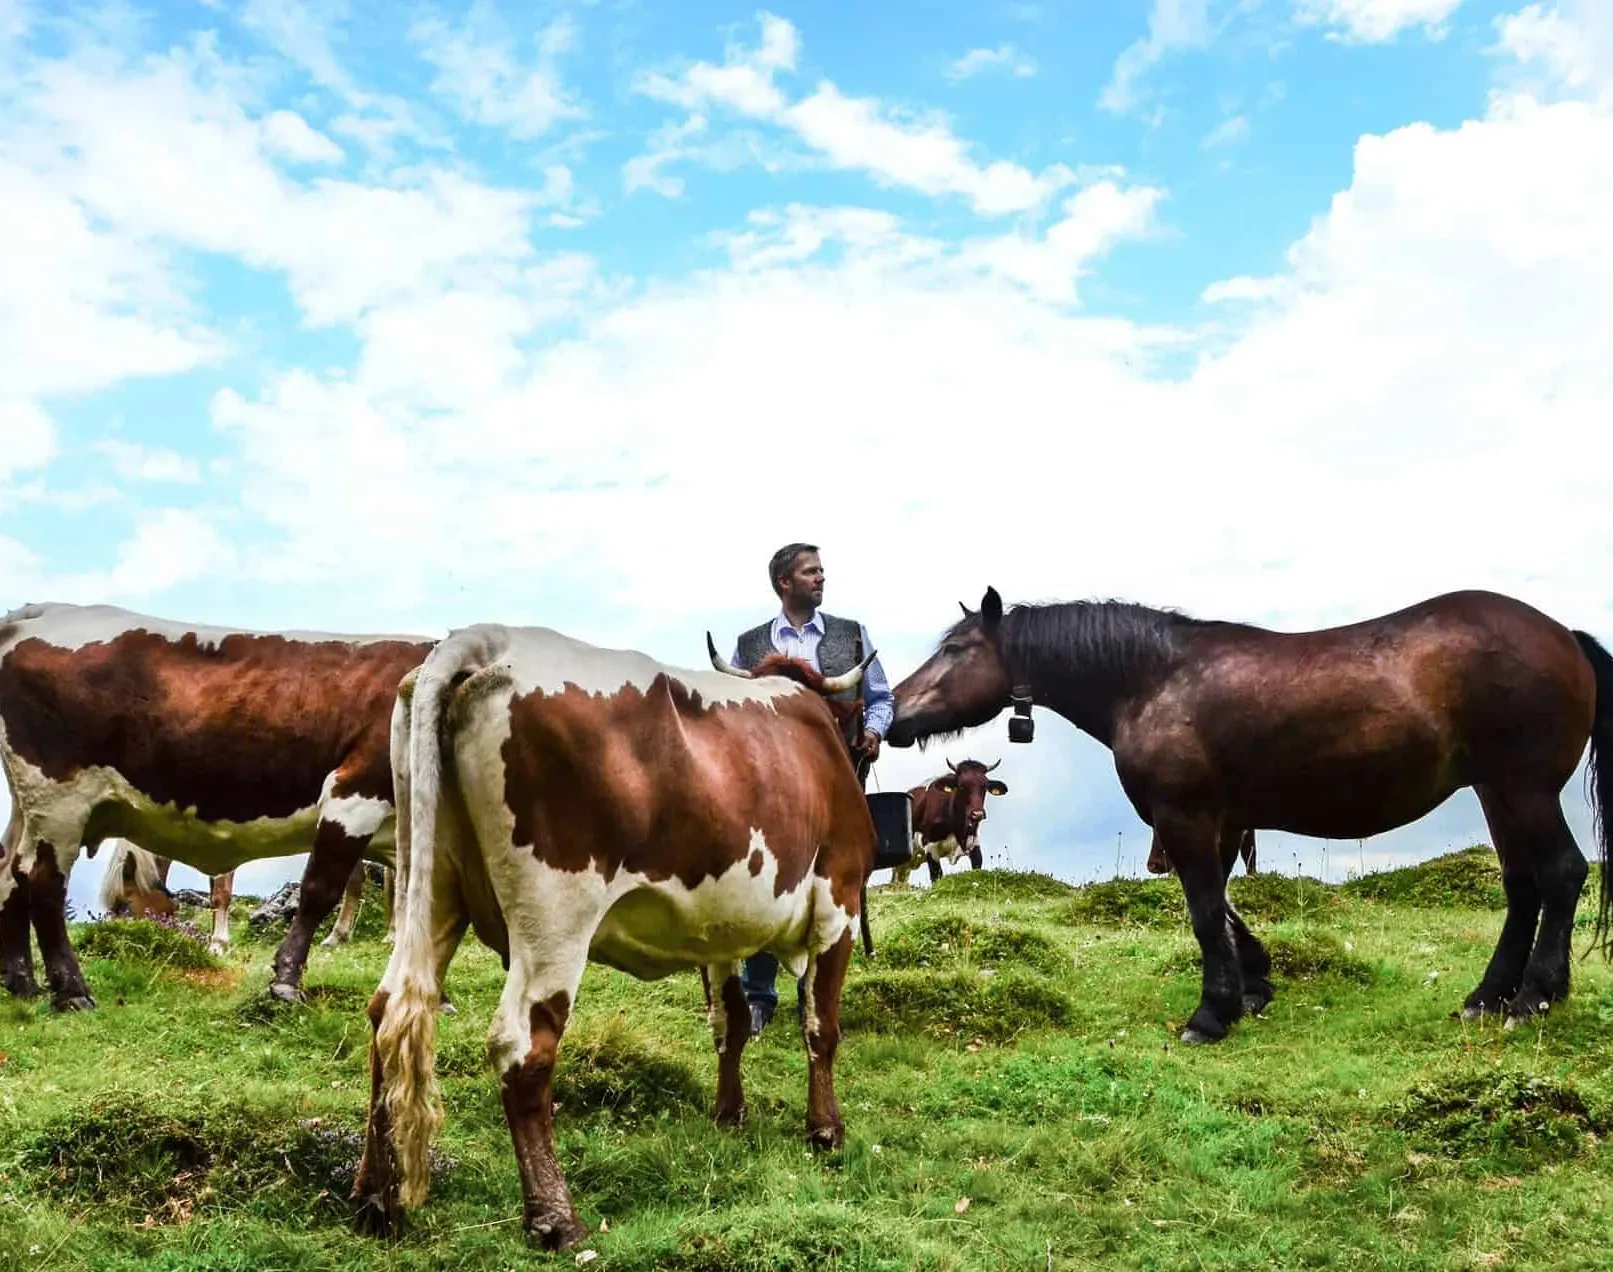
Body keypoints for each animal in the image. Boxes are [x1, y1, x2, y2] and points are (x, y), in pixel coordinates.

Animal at [0, 599, 435, 1005]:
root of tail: (45, 611)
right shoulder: (354, 793)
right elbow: (318, 891)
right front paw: (286, 981)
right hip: (60, 798)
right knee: (41, 880)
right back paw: (71, 991)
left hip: (30, 806)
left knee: (10, 873)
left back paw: (21, 983)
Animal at [896, 754, 1006, 883]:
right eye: (962, 786)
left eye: (985, 786)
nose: (977, 814)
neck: (957, 825)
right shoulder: (929, 845)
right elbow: (936, 876)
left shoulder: (973, 841)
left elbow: (977, 868)